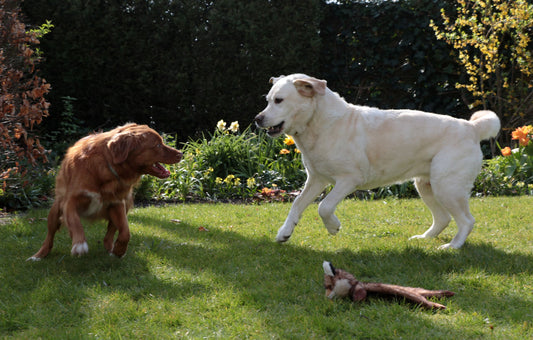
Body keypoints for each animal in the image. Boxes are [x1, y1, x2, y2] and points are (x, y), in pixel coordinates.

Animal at [28, 123, 182, 258]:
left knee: (109, 234)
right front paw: (79, 244)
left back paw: (111, 249)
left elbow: (125, 232)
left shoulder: (117, 203)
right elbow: (75, 222)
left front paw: (120, 250)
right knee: (49, 237)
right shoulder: (70, 202)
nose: (181, 153)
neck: (107, 167)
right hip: (54, 211)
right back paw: (38, 256)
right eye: (157, 145)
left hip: (126, 204)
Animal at [254, 74, 498, 248]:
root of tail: (472, 127)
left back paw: (452, 247)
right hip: (427, 185)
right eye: (267, 100)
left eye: (279, 100)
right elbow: (296, 204)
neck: (319, 124)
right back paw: (424, 239)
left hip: (447, 187)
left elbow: (324, 207)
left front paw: (333, 227)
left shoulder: (349, 179)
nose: (257, 119)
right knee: (443, 218)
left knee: (467, 221)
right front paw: (284, 233)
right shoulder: (316, 179)